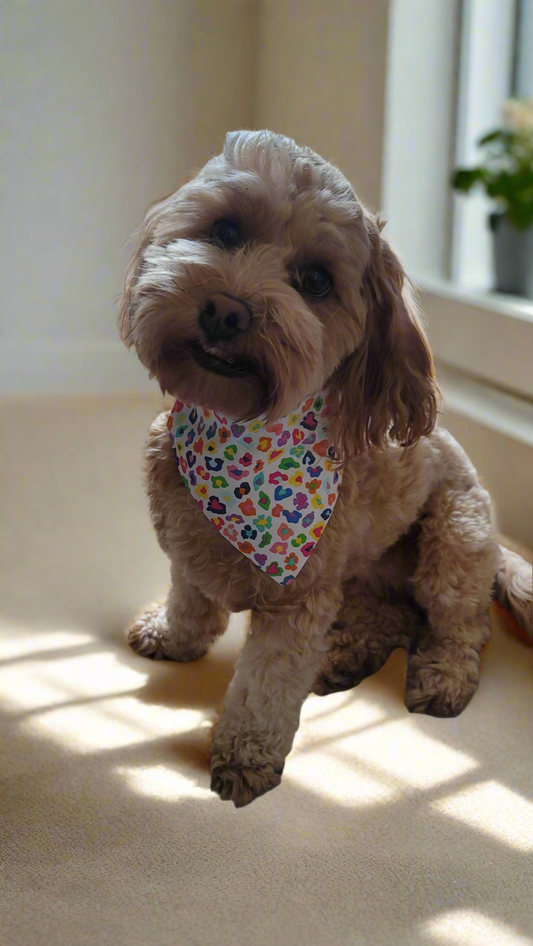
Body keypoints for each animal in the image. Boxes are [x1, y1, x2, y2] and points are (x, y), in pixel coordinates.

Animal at [118, 129, 528, 808]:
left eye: (314, 280)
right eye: (225, 230)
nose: (226, 310)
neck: (239, 445)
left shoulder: (299, 601)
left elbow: (264, 687)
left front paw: (245, 758)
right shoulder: (185, 543)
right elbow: (191, 601)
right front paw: (174, 637)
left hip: (454, 538)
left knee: (459, 626)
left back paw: (441, 676)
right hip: (364, 574)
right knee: (391, 617)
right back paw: (344, 657)